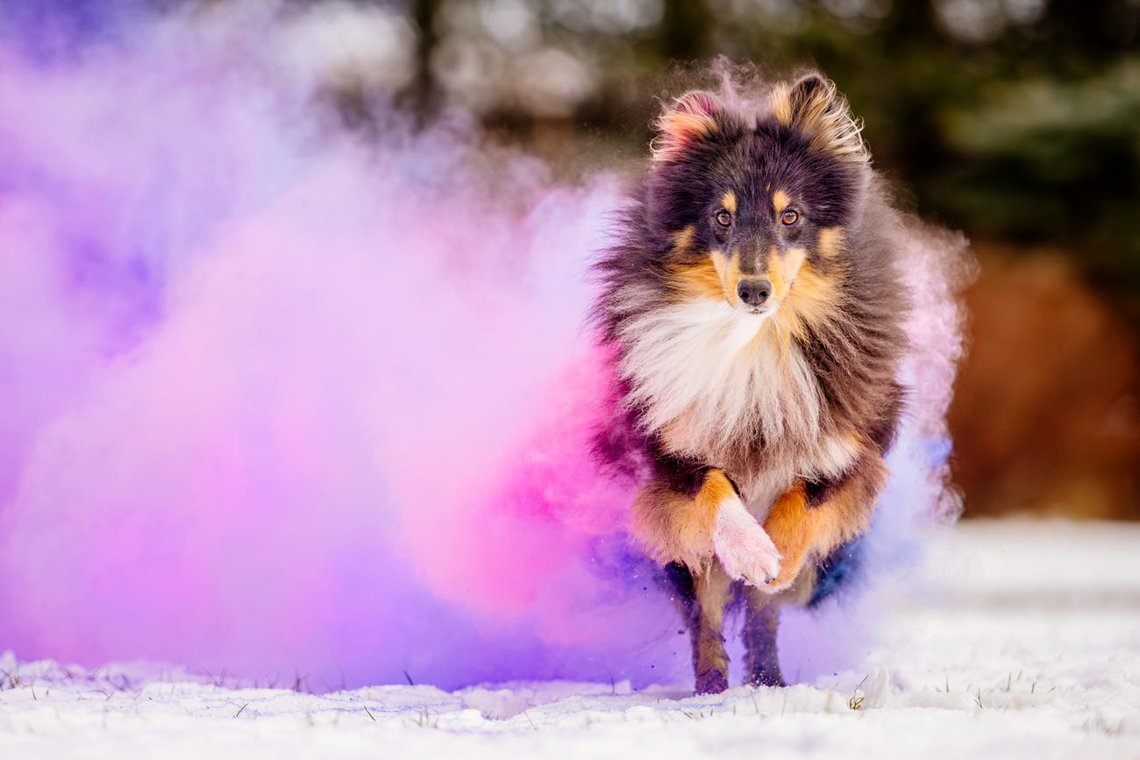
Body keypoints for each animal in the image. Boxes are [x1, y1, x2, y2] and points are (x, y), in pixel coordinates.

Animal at [597, 71, 907, 697]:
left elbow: (805, 496)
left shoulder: (851, 440)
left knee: (764, 616)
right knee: (706, 612)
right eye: (722, 217)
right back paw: (713, 685)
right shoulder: (669, 446)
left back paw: (768, 678)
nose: (754, 291)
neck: (756, 339)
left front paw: (777, 559)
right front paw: (753, 553)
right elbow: (713, 491)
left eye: (791, 216)